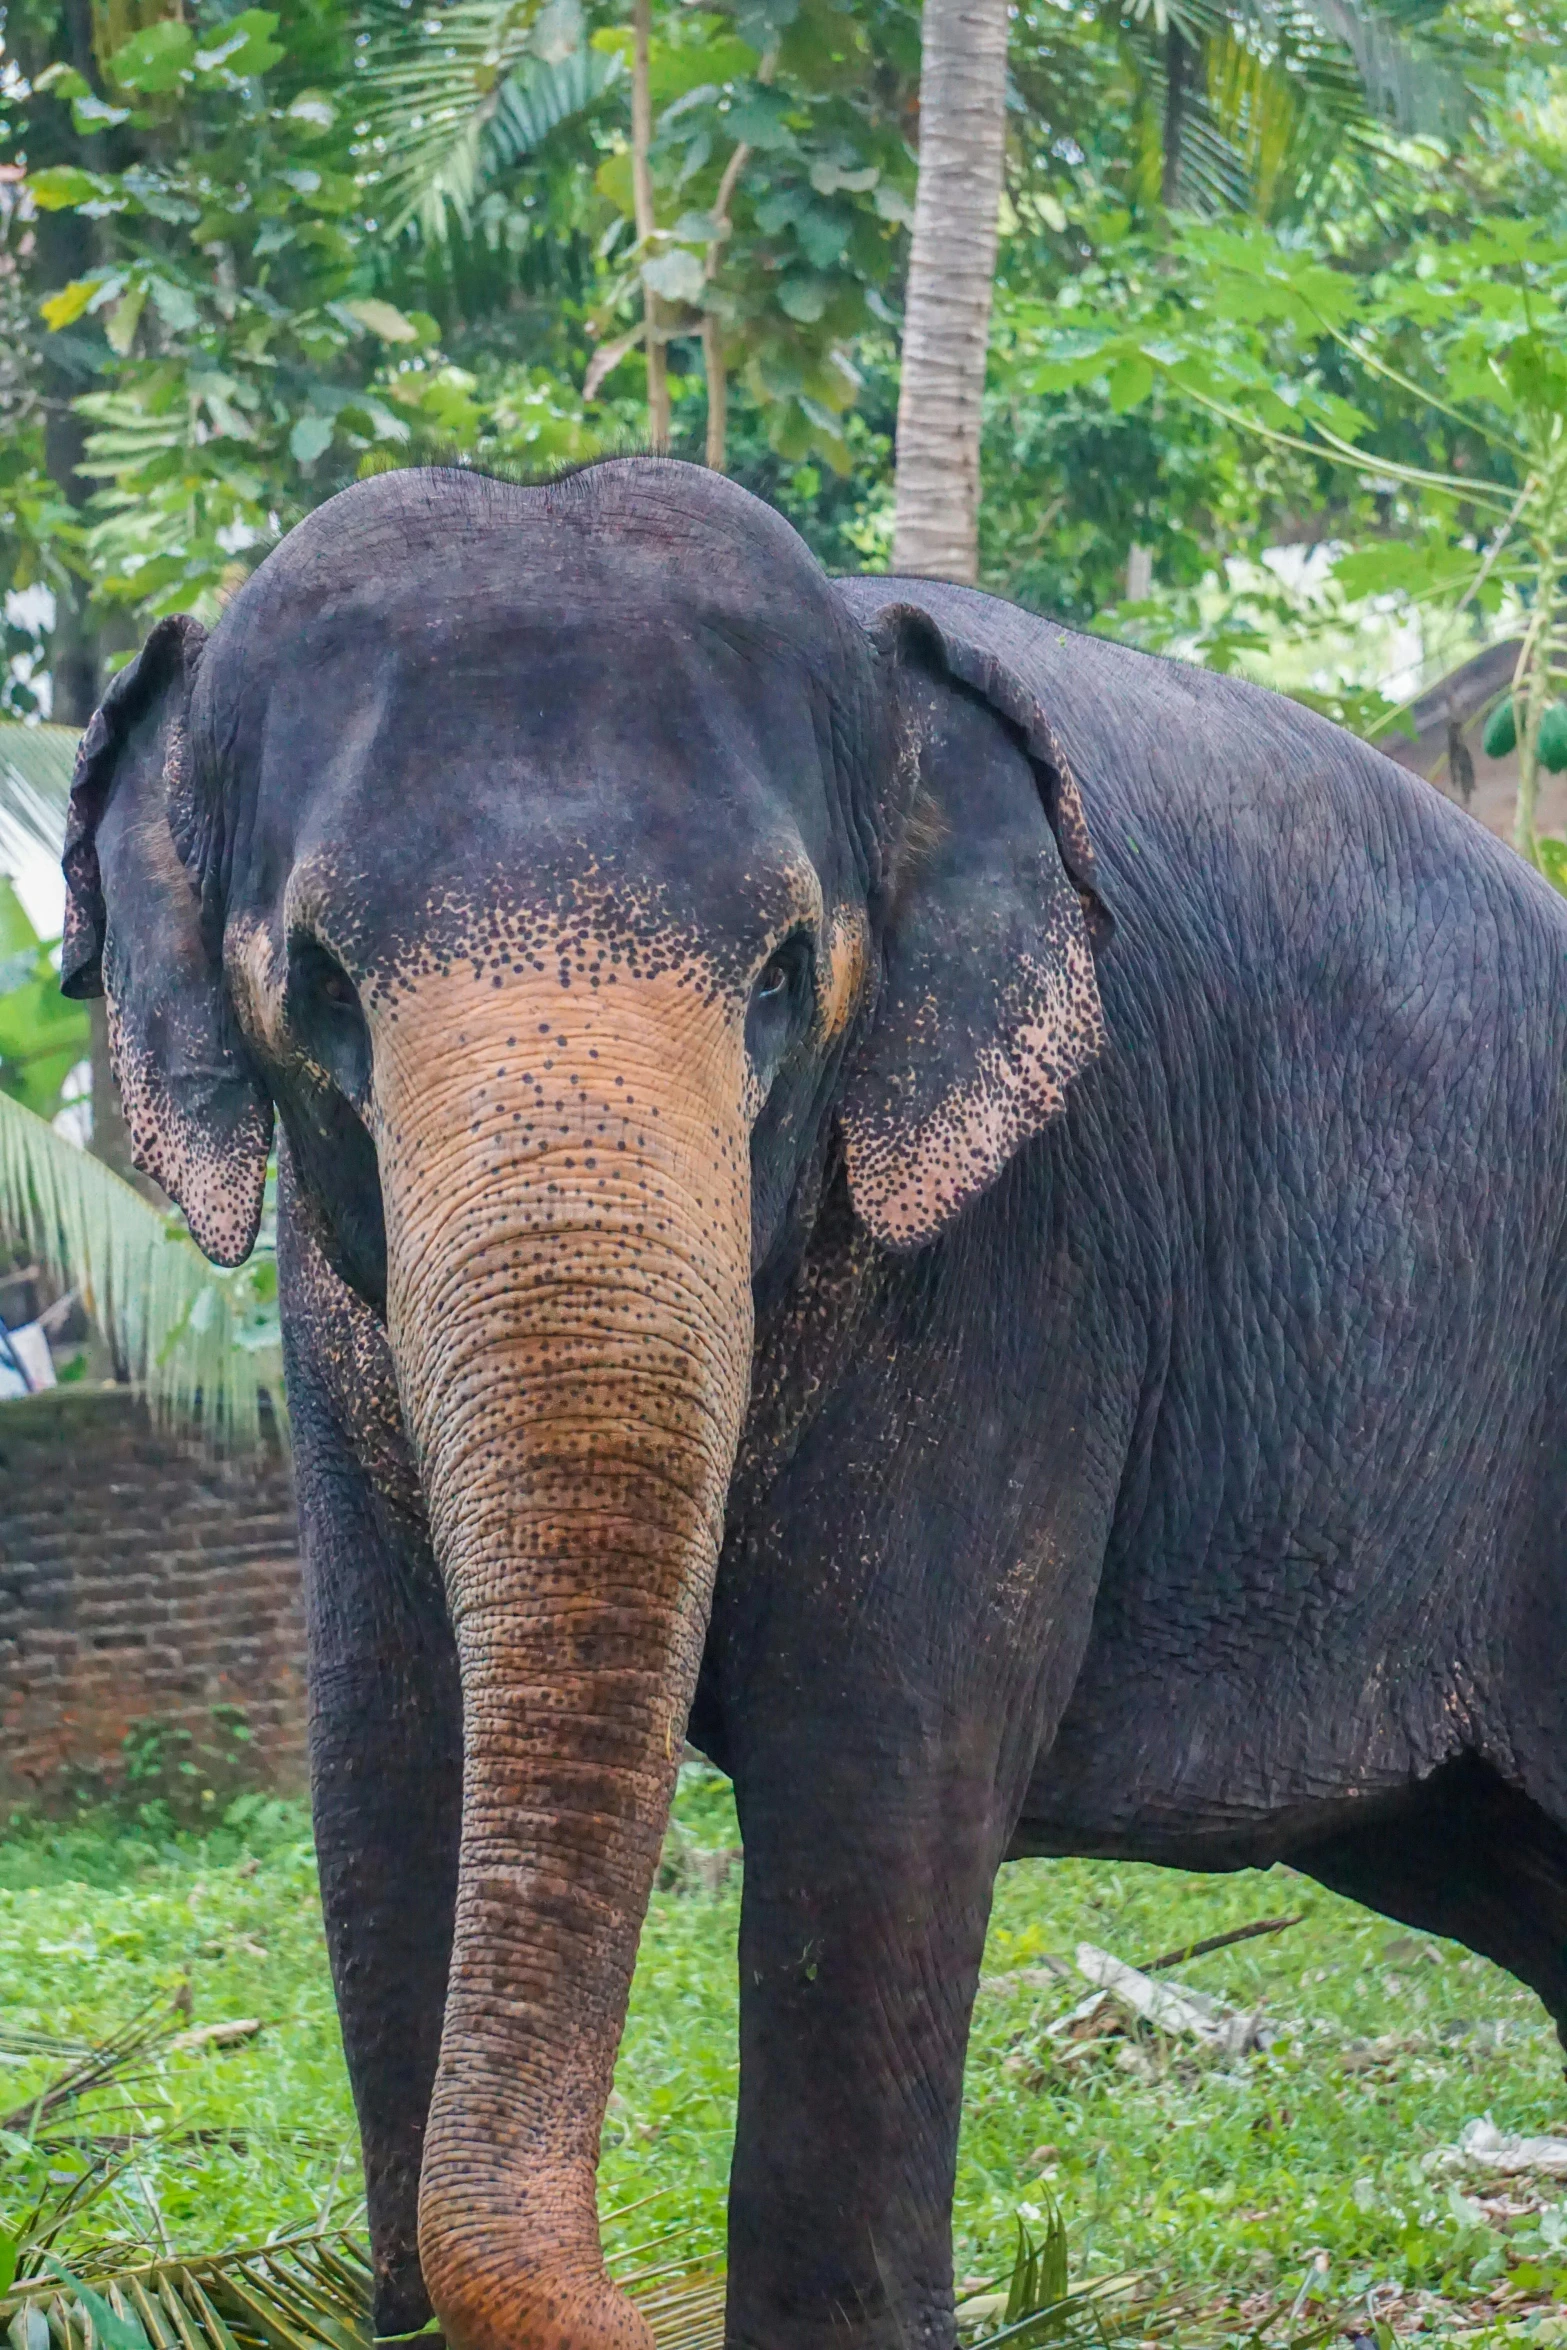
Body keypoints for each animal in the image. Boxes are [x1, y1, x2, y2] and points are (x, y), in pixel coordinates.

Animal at [67, 453, 1567, 2350]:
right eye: (321, 984)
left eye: (784, 973)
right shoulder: (334, 1329)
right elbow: (385, 1765)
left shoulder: (1028, 1253)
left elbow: (874, 1779)